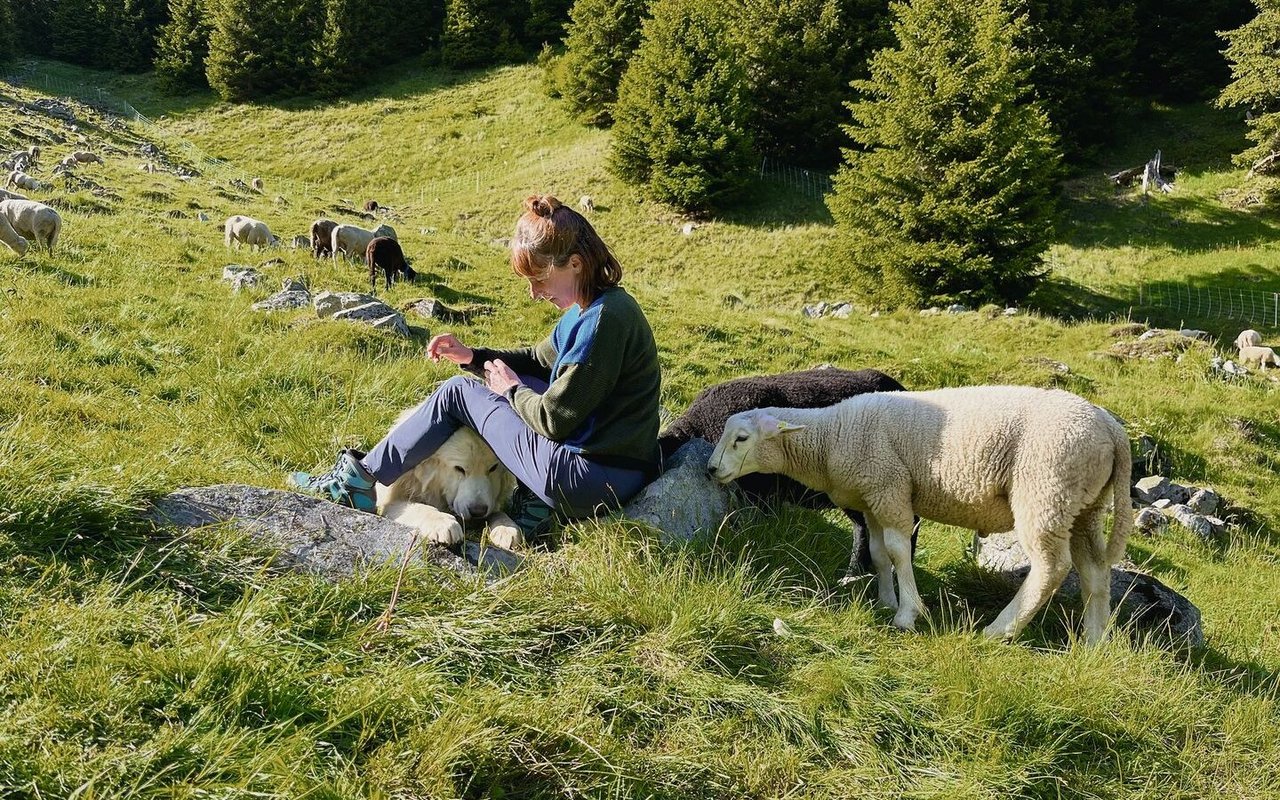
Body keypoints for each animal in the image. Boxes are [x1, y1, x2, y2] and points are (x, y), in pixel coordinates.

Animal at [706, 384, 1136, 645]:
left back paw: (999, 630)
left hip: (1045, 491)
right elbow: (879, 554)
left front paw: (908, 613)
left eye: (741, 439)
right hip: (1082, 506)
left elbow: (899, 552)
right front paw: (885, 601)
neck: (833, 434)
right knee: (1094, 570)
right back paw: (1094, 640)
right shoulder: (872, 499)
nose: (711, 470)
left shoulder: (890, 488)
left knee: (1050, 567)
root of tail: (1110, 427)